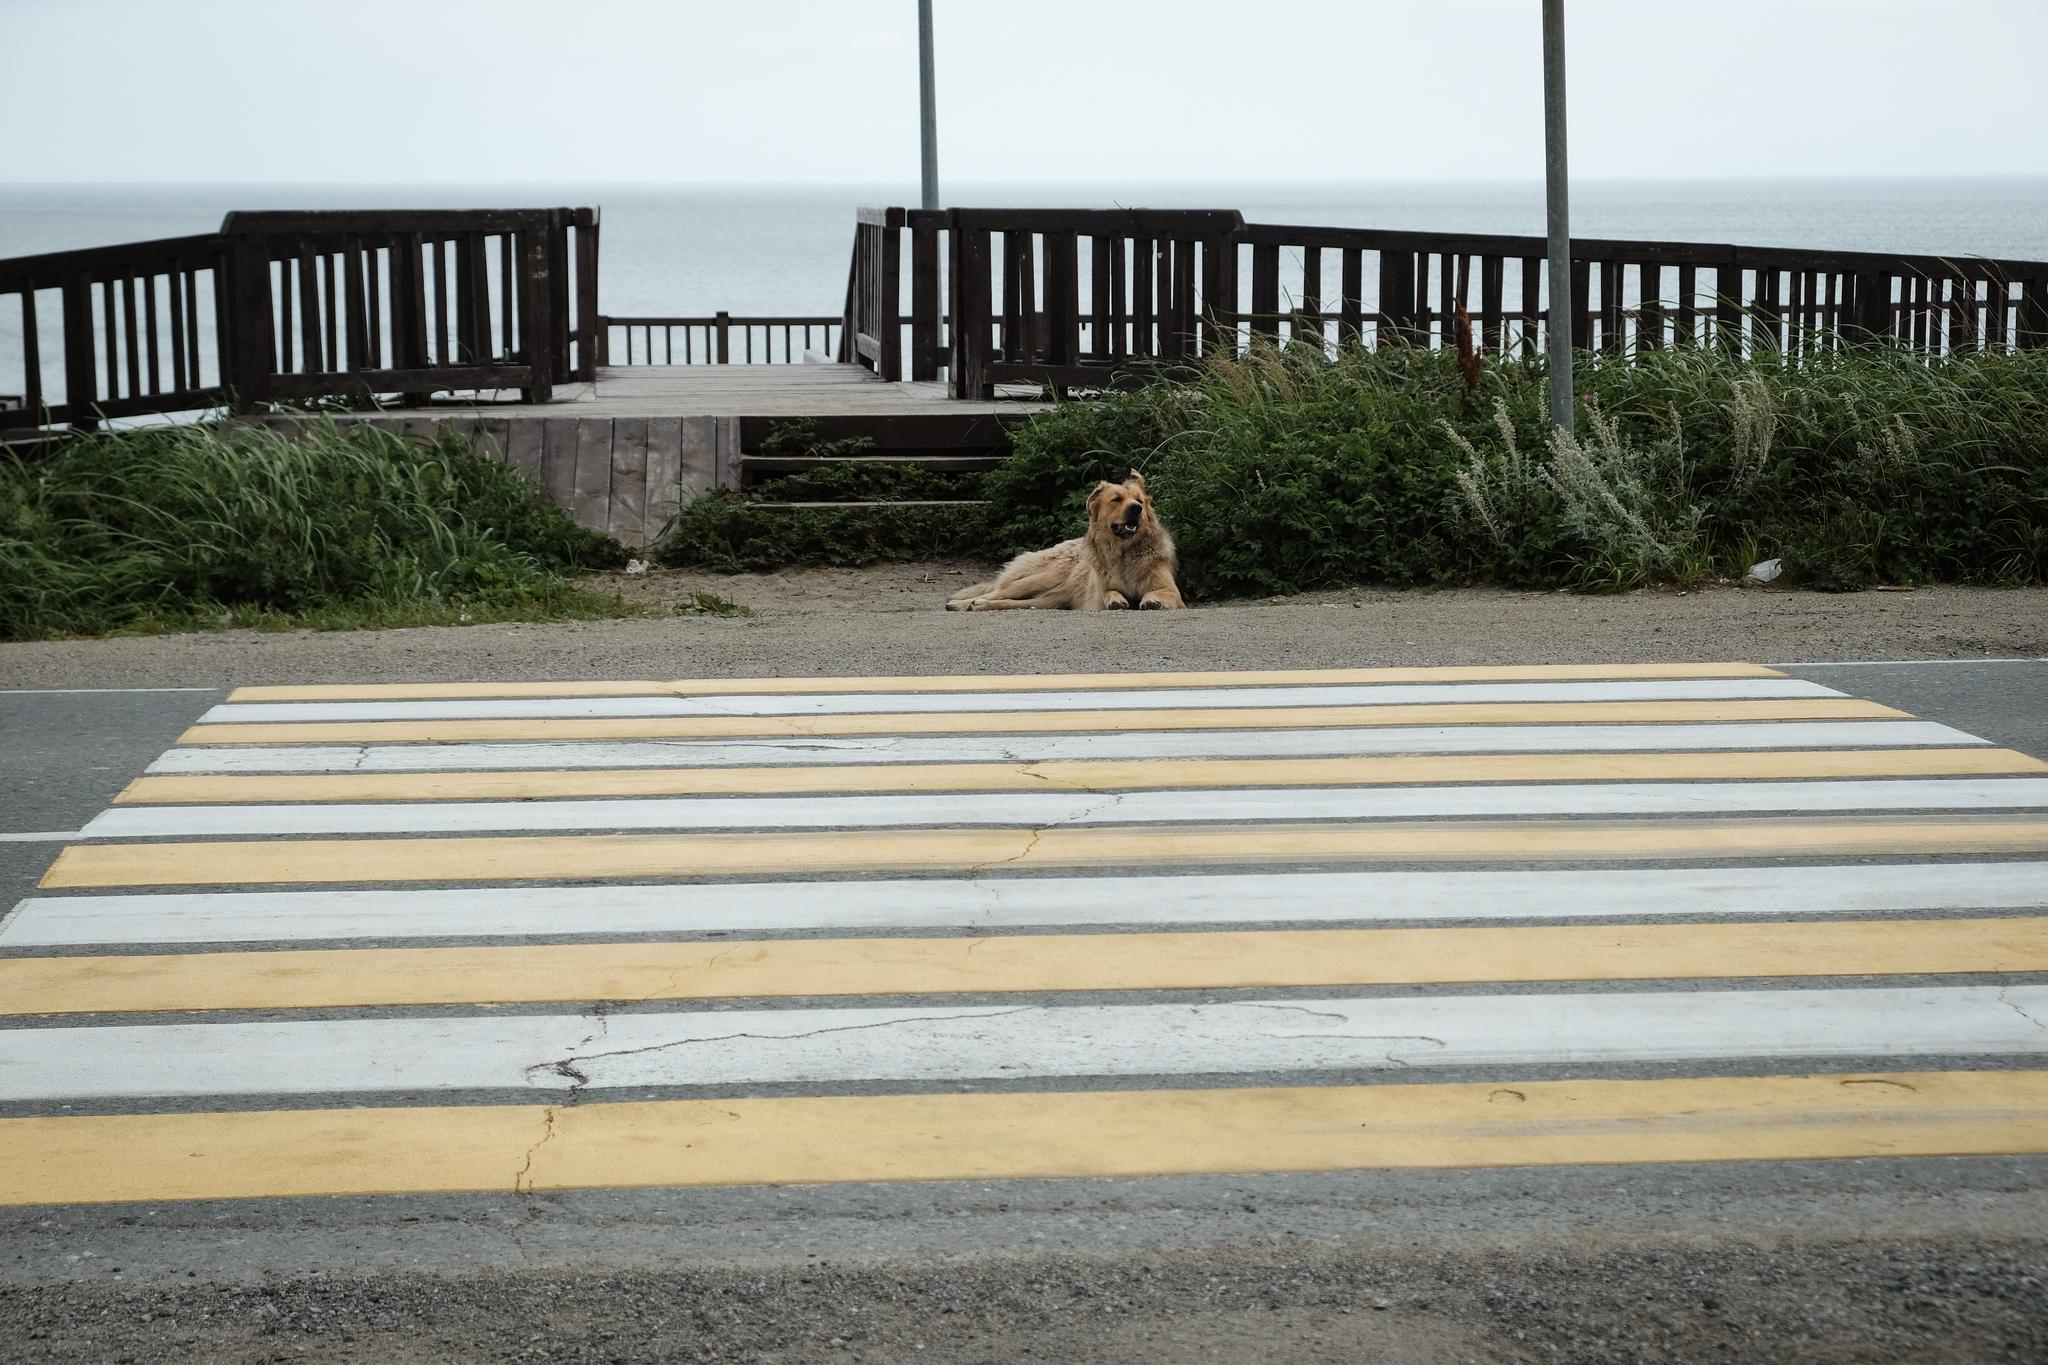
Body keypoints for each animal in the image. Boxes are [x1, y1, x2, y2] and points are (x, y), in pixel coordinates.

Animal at [946, 474, 1187, 613]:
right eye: (1116, 499)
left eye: (1138, 501)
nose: (1136, 508)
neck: (1125, 553)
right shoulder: (1101, 592)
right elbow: (1109, 593)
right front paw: (1117, 600)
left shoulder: (1173, 593)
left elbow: (1157, 593)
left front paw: (1151, 600)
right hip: (1042, 579)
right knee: (996, 592)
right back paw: (964, 603)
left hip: (1049, 599)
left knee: (1008, 601)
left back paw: (975, 605)